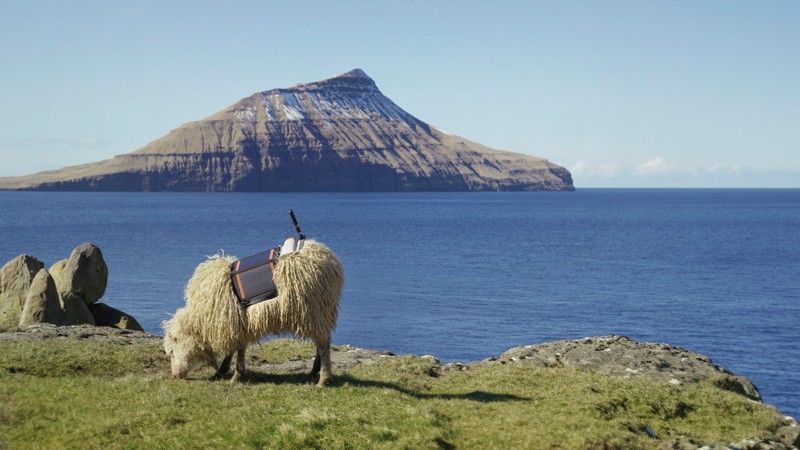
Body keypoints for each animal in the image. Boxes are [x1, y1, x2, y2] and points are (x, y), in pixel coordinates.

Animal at [162, 240, 344, 386]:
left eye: (171, 351)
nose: (175, 375)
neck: (199, 320)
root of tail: (329, 258)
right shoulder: (234, 323)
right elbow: (233, 348)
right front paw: (222, 370)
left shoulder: (234, 322)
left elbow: (239, 349)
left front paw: (235, 376)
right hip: (320, 311)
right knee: (321, 341)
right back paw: (314, 371)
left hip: (313, 309)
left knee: (323, 343)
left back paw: (323, 379)